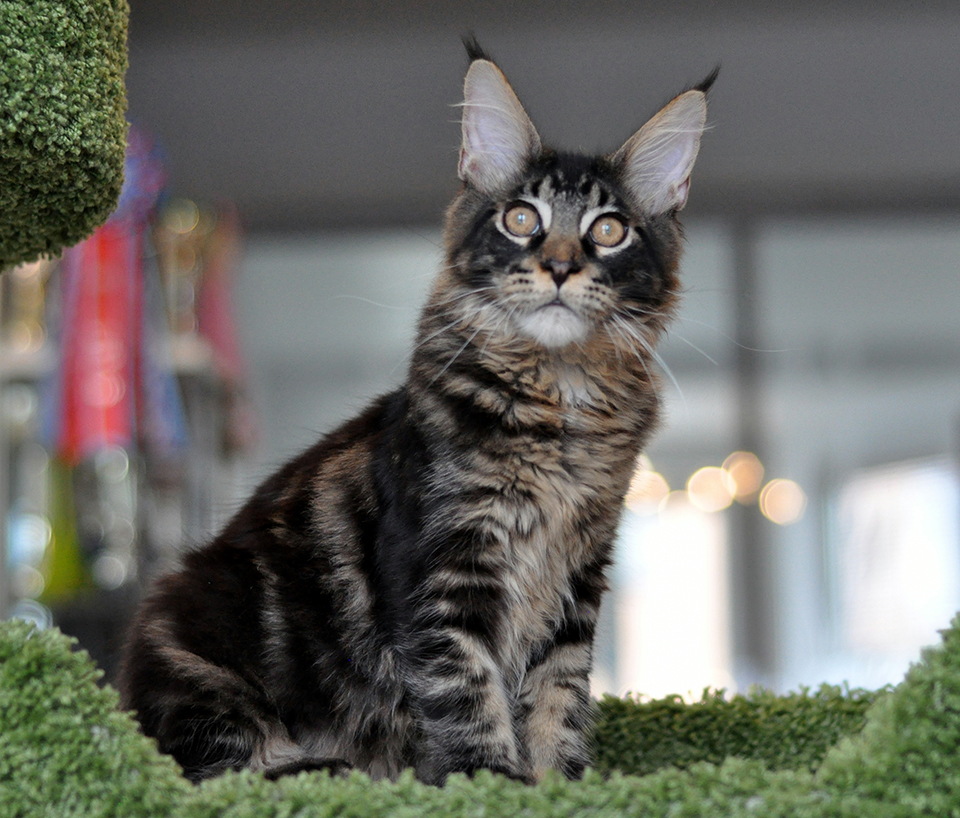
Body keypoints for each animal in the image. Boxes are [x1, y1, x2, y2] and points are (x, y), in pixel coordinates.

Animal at [118, 44, 712, 784]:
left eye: (609, 230)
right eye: (522, 219)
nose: (560, 266)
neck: (558, 407)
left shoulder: (579, 576)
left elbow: (558, 699)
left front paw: (561, 784)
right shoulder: (442, 565)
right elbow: (468, 690)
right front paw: (490, 781)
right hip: (200, 623)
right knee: (220, 770)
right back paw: (330, 767)